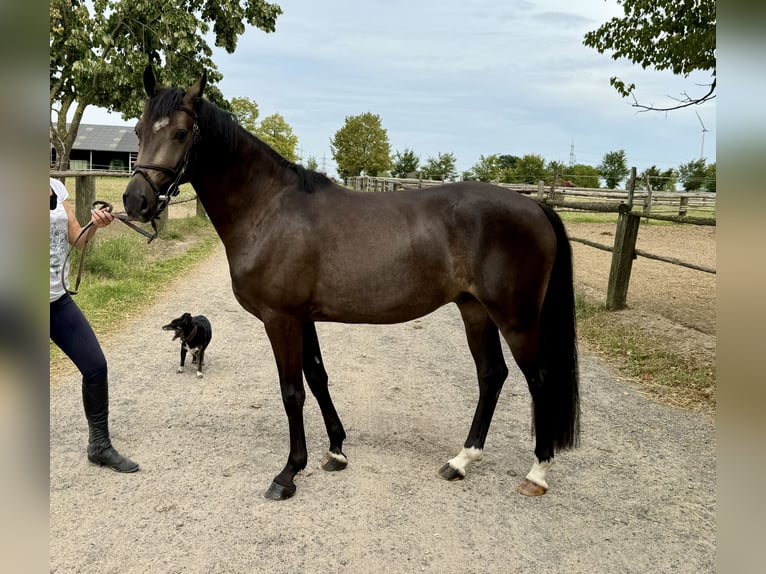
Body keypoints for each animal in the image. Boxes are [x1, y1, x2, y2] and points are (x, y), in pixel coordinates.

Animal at [124, 66, 584, 500]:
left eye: (181, 133)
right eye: (139, 130)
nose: (135, 201)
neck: (269, 209)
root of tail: (536, 207)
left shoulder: (281, 319)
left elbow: (292, 391)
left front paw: (288, 473)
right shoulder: (303, 318)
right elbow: (317, 378)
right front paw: (336, 452)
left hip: (515, 318)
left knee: (539, 379)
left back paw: (537, 473)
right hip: (475, 311)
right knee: (492, 376)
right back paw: (461, 461)